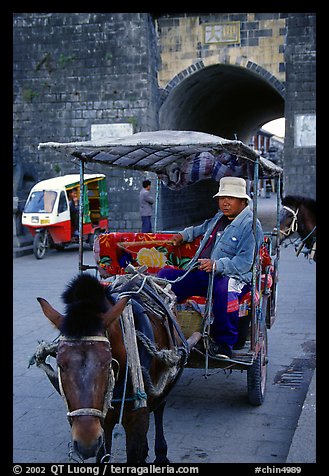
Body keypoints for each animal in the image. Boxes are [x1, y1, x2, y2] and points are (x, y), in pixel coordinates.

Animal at [35, 274, 187, 462]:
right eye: (60, 365)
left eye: (107, 362)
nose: (86, 442)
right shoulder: (103, 422)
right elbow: (103, 455)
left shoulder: (137, 419)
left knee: (159, 409)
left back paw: (160, 453)